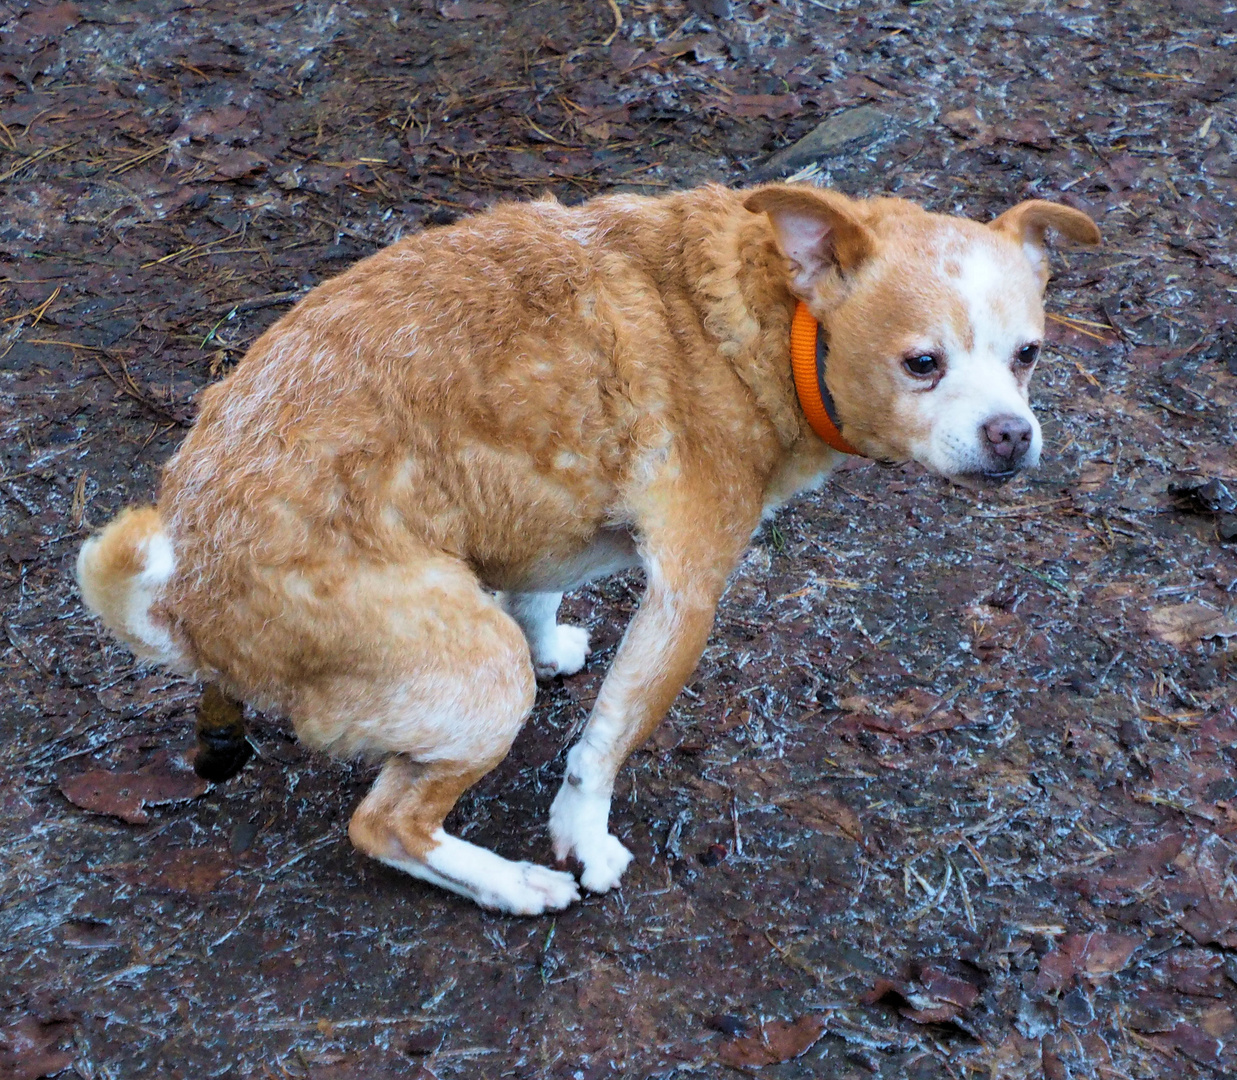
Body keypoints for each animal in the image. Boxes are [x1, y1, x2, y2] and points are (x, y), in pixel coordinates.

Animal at [77, 183, 1103, 910]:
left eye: (1028, 355)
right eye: (921, 364)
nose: (1012, 436)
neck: (771, 315)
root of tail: (180, 597)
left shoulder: (542, 519)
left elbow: (539, 593)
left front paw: (555, 640)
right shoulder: (687, 589)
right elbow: (606, 738)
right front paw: (582, 836)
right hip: (477, 677)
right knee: (387, 825)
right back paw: (515, 885)